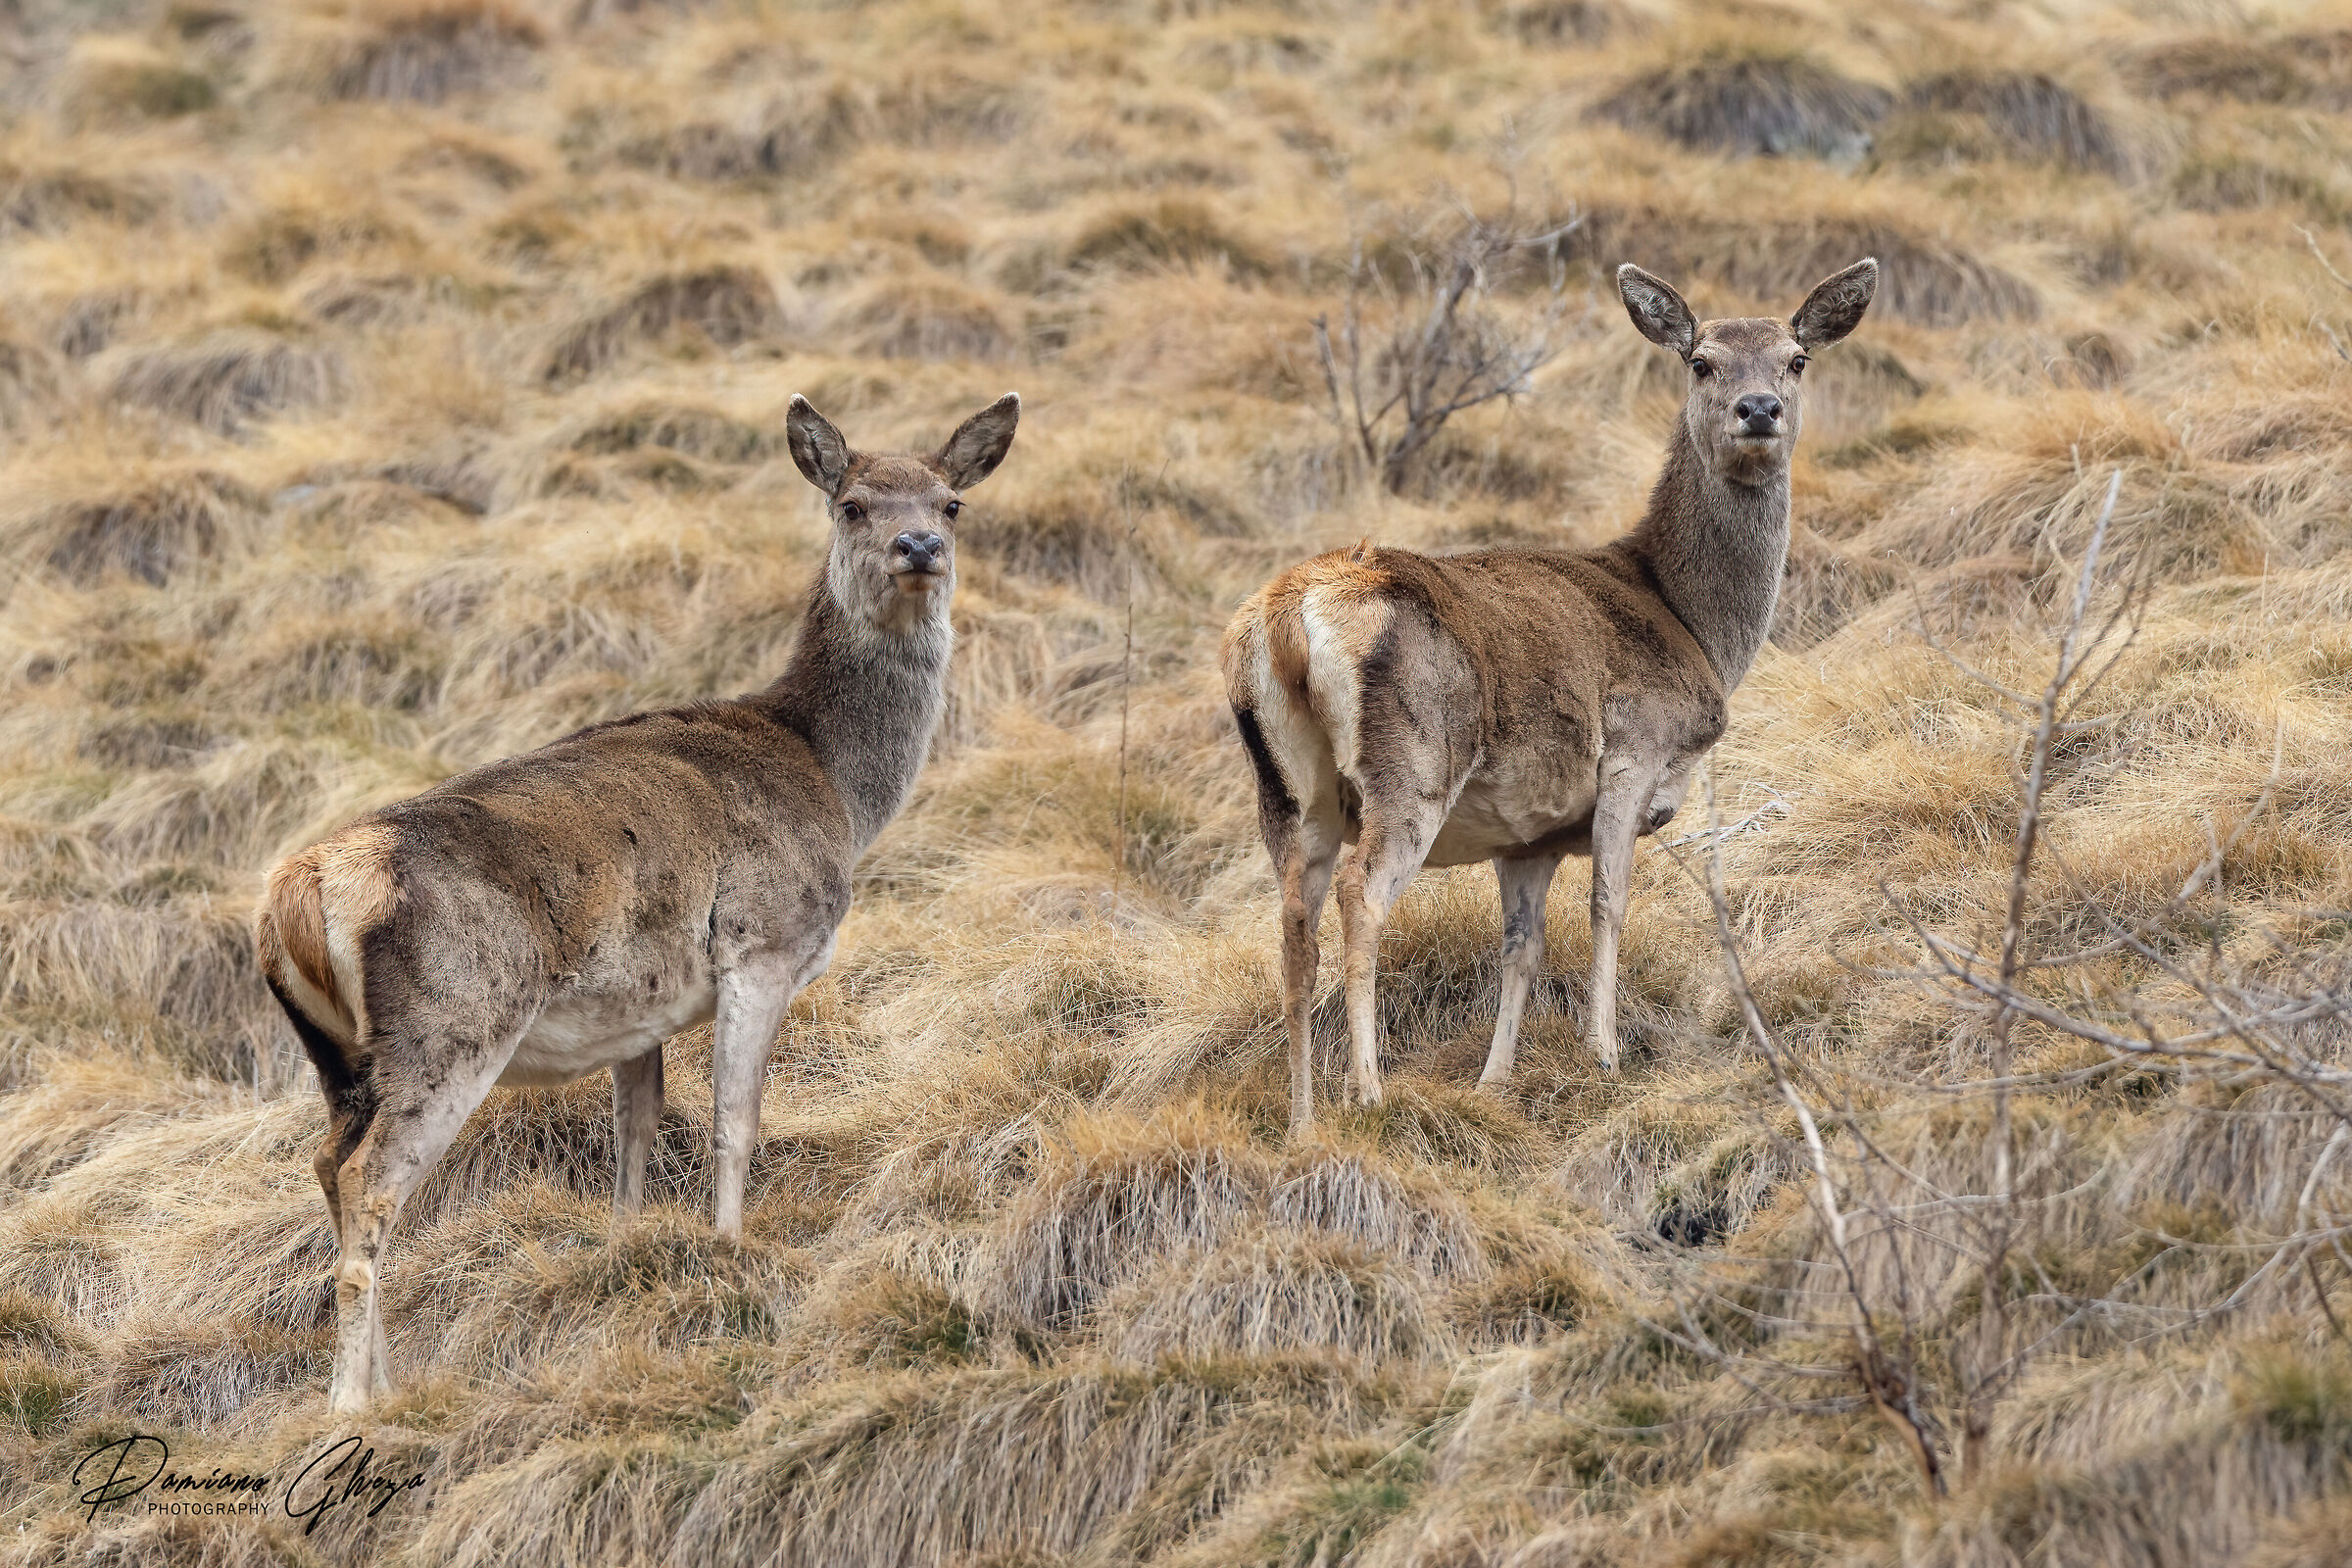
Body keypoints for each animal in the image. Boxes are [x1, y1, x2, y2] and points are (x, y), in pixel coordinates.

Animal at [253, 393, 1018, 1413]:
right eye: (852, 503)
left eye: (951, 503)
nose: (918, 547)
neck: (838, 786)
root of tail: (295, 898)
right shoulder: (763, 942)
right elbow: (737, 1122)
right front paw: (730, 1256)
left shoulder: (636, 1011)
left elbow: (636, 1139)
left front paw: (630, 1257)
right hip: (453, 1022)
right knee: (373, 1185)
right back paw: (352, 1404)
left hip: (336, 1056)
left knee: (327, 1166)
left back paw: (390, 1382)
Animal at [1222, 259, 1877, 1130]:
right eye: (1700, 361)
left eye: (1796, 359)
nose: (1759, 409)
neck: (1693, 623)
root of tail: (1287, 619)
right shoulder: (1635, 749)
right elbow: (1609, 902)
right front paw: (1603, 1052)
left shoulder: (1524, 836)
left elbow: (1521, 947)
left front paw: (1494, 1081)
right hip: (1413, 758)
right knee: (1361, 895)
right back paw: (1367, 1093)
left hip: (1286, 787)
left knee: (1294, 917)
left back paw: (1301, 1121)